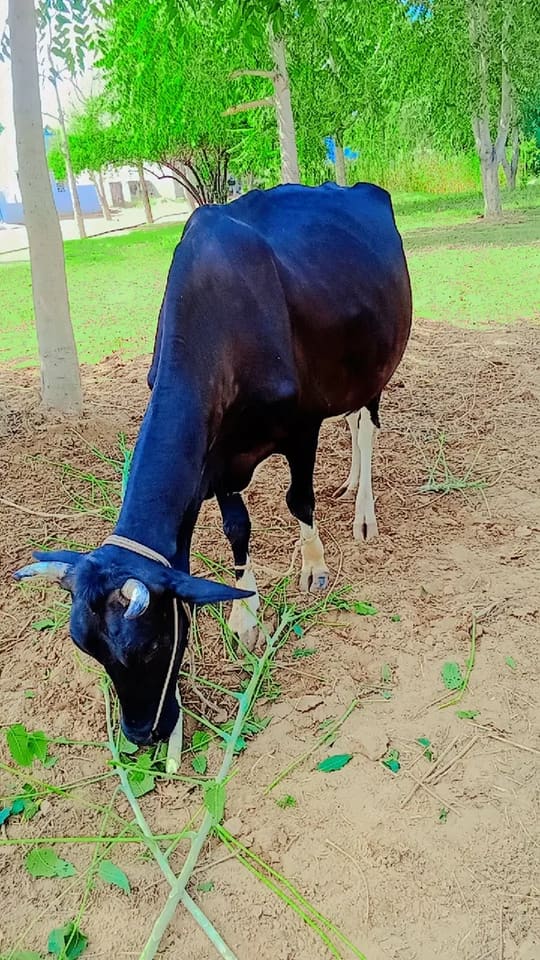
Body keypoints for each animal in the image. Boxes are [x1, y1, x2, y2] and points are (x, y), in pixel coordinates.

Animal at [14, 182, 412, 750]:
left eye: (152, 646)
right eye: (89, 650)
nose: (142, 734)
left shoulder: (301, 427)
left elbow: (298, 499)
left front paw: (313, 568)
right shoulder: (218, 454)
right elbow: (236, 527)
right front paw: (246, 612)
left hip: (376, 365)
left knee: (365, 424)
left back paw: (363, 511)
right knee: (353, 422)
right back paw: (350, 485)